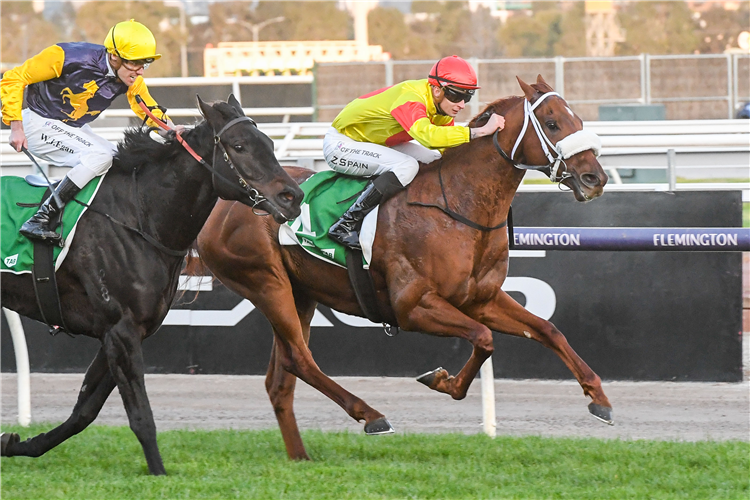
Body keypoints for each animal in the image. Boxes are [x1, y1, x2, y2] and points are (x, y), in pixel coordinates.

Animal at [1, 95, 306, 474]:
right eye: (239, 146)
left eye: (270, 144)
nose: (293, 197)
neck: (139, 218)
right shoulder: (122, 331)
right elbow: (141, 415)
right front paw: (159, 472)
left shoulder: (121, 332)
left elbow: (84, 411)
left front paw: (16, 443)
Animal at [198, 75, 612, 460]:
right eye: (553, 123)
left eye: (577, 118)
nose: (595, 178)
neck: (459, 203)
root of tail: (222, 207)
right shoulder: (413, 306)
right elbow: (483, 338)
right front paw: (441, 380)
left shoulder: (481, 299)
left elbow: (547, 330)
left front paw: (599, 398)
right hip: (266, 283)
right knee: (299, 359)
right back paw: (371, 416)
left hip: (301, 293)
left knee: (280, 379)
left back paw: (300, 455)